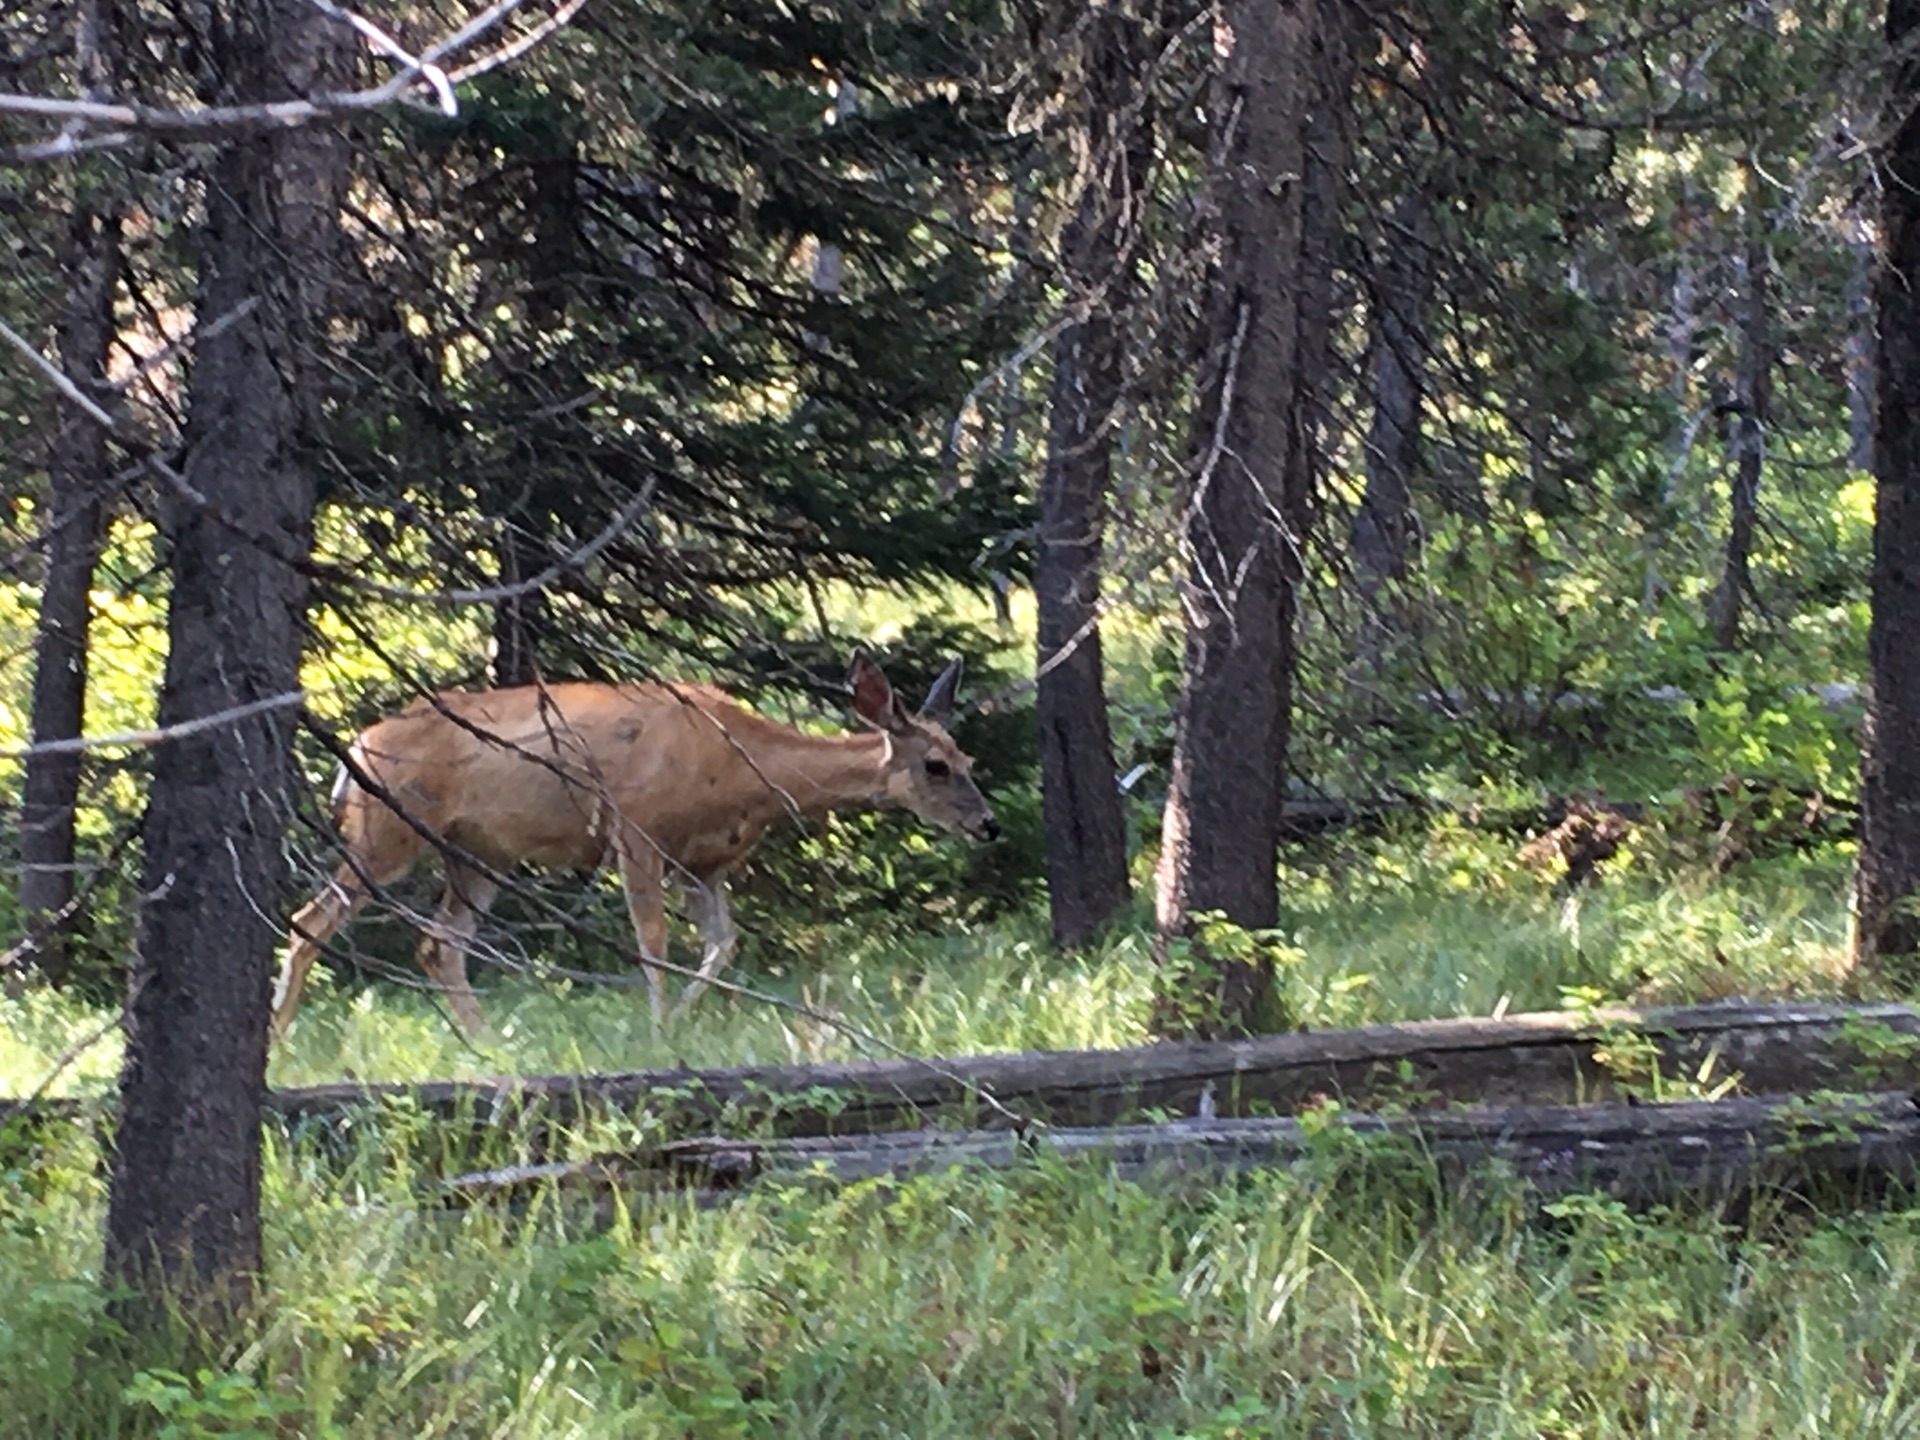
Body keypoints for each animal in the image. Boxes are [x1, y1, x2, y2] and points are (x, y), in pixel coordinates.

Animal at [278, 652, 998, 1036]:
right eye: (936, 765)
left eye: (968, 757)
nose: (988, 824)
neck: (747, 773)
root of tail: (357, 747)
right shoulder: (636, 828)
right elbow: (652, 941)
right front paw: (659, 1028)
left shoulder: (706, 863)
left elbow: (722, 944)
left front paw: (679, 1018)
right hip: (385, 831)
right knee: (310, 918)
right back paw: (280, 1037)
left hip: (479, 851)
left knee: (437, 943)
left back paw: (483, 1045)